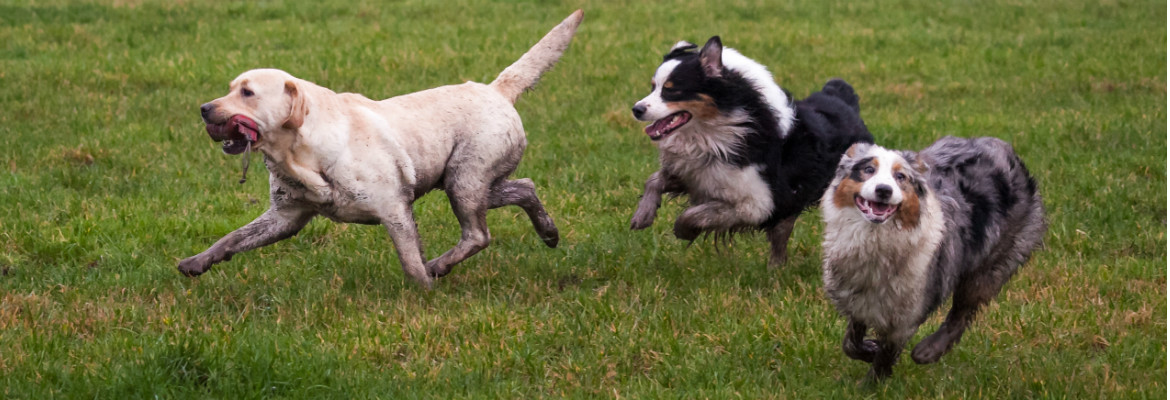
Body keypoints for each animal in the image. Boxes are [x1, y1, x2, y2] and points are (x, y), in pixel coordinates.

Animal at [181, 10, 585, 287]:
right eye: (230, 88)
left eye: (247, 93)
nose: (203, 108)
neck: (299, 156)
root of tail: (497, 89)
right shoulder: (285, 217)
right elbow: (232, 238)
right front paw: (196, 262)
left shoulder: (394, 210)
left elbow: (411, 262)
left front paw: (425, 292)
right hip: (470, 182)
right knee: (526, 187)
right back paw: (549, 233)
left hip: (465, 180)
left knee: (478, 235)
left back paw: (440, 266)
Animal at [631, 36, 870, 269]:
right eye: (653, 87)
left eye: (671, 90)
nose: (636, 109)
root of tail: (844, 98)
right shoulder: (697, 173)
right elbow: (654, 180)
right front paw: (643, 215)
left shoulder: (757, 203)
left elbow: (694, 214)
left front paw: (683, 230)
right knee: (781, 234)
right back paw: (776, 271)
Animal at [819, 136, 1048, 378]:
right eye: (868, 169)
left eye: (901, 177)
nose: (883, 190)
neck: (876, 237)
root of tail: (1004, 147)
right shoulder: (858, 299)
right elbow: (850, 344)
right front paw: (870, 349)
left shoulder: (907, 314)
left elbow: (884, 359)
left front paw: (872, 382)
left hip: (993, 264)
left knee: (962, 312)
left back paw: (928, 350)